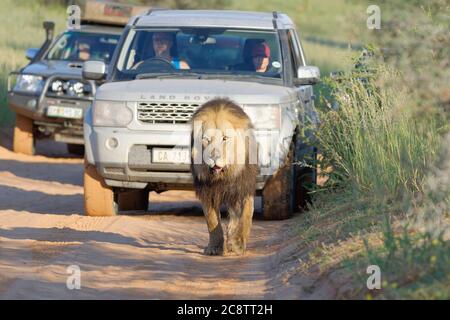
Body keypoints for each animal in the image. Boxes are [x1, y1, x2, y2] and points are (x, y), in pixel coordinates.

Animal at [192, 97, 258, 255]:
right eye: (207, 140)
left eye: (224, 138)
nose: (214, 157)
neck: (223, 176)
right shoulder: (207, 192)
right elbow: (212, 221)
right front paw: (214, 247)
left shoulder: (244, 187)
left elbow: (246, 215)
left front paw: (238, 243)